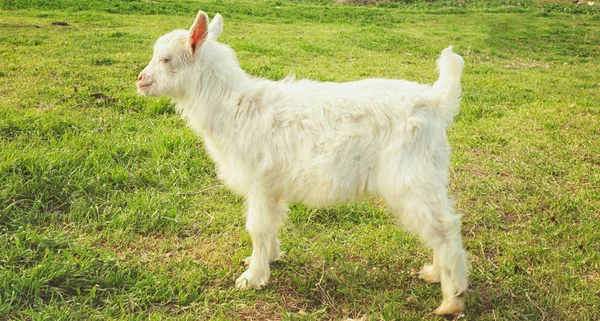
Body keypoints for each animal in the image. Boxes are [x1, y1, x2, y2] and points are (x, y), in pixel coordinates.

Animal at [138, 10, 472, 316]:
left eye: (165, 59)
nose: (140, 80)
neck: (234, 107)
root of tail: (436, 101)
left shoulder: (259, 181)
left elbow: (256, 227)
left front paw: (252, 278)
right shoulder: (272, 187)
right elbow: (272, 223)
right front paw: (269, 258)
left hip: (411, 176)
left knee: (444, 227)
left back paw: (451, 300)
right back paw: (433, 274)